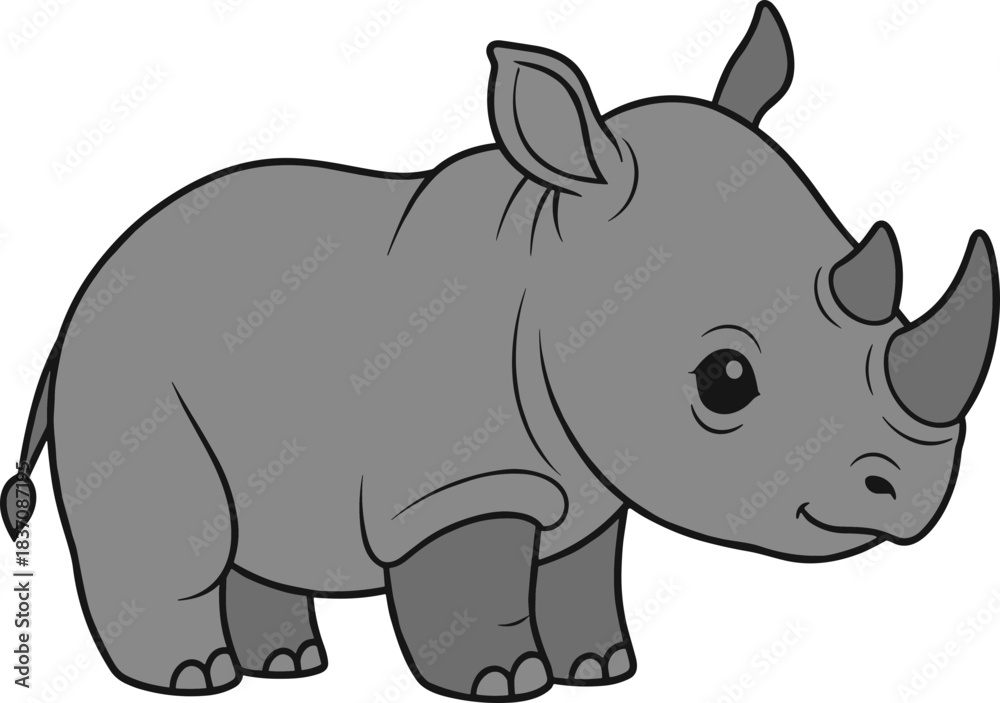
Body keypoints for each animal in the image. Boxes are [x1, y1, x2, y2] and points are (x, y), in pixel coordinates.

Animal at [4, 2, 997, 699]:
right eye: (725, 381)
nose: (914, 497)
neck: (552, 261)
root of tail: (84, 287)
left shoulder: (590, 481)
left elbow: (579, 572)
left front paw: (602, 668)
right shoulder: (457, 481)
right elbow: (469, 578)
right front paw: (502, 681)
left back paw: (289, 666)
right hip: (124, 366)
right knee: (178, 527)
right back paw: (195, 679)